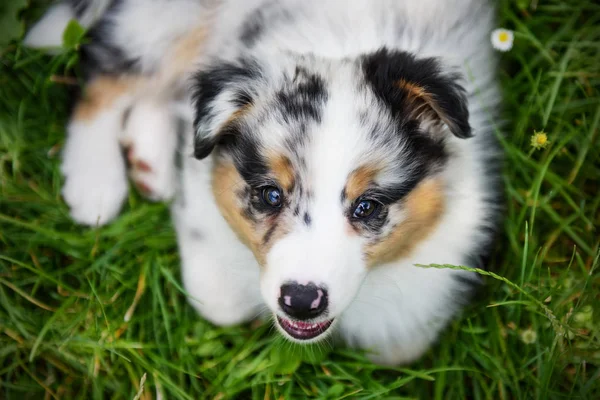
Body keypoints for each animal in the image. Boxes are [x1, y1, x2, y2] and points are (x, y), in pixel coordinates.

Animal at [27, 0, 502, 364]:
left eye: (368, 206)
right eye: (270, 195)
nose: (301, 301)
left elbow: (399, 347)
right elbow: (215, 300)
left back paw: (149, 159)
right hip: (167, 21)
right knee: (108, 80)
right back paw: (94, 184)